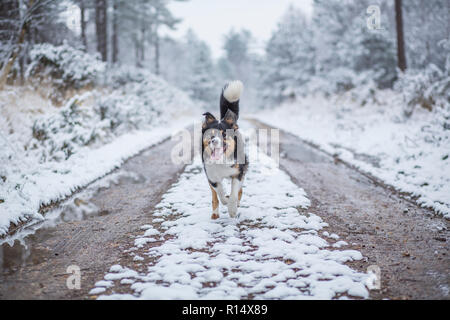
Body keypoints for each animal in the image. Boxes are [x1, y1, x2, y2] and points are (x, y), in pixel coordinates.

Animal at [201, 80, 248, 220]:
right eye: (211, 135)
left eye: (224, 134)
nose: (214, 141)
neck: (221, 161)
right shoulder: (211, 175)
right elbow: (220, 192)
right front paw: (225, 200)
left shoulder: (238, 172)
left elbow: (234, 193)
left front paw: (232, 209)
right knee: (214, 196)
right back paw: (215, 213)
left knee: (240, 190)